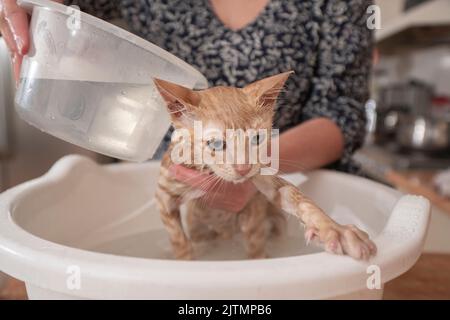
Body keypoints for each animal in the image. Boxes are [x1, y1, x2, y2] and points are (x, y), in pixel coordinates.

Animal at [154, 72, 376, 260]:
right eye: (215, 144)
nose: (243, 168)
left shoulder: (259, 176)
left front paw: (334, 229)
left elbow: (298, 198)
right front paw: (186, 260)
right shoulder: (164, 194)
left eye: (257, 139)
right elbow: (178, 240)